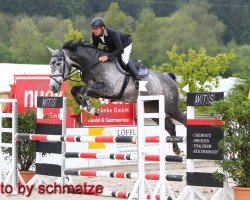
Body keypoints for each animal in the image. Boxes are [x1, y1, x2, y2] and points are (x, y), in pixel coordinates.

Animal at [47, 40, 187, 153]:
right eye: (50, 64)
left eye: (58, 63)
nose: (53, 87)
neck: (94, 64)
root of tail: (169, 77)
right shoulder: (98, 90)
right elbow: (76, 90)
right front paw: (87, 107)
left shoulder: (109, 89)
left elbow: (84, 90)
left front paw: (90, 108)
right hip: (152, 110)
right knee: (171, 127)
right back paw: (176, 150)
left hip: (171, 108)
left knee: (184, 120)